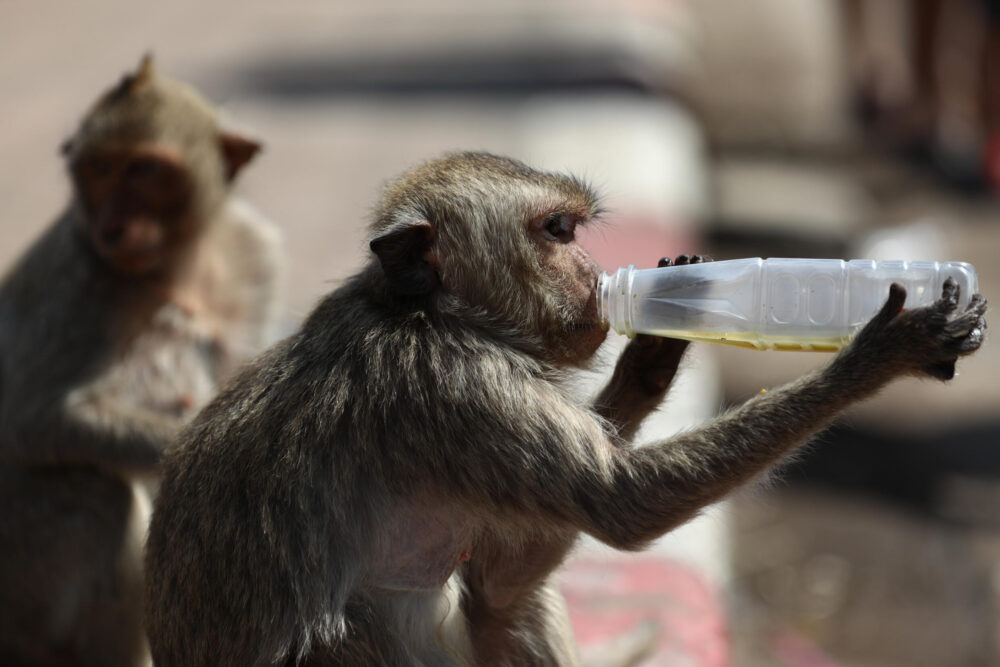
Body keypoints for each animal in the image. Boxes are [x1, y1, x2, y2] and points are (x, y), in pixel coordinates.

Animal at [0, 57, 284, 667]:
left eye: (143, 170)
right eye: (99, 168)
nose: (111, 225)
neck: (177, 265)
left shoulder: (254, 256)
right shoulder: (76, 278)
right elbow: (29, 419)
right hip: (20, 579)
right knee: (96, 495)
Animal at [143, 153, 984, 667]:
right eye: (556, 232)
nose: (592, 271)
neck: (431, 312)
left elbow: (506, 577)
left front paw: (651, 358)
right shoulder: (455, 388)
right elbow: (620, 502)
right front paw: (877, 352)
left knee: (504, 601)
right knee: (355, 633)